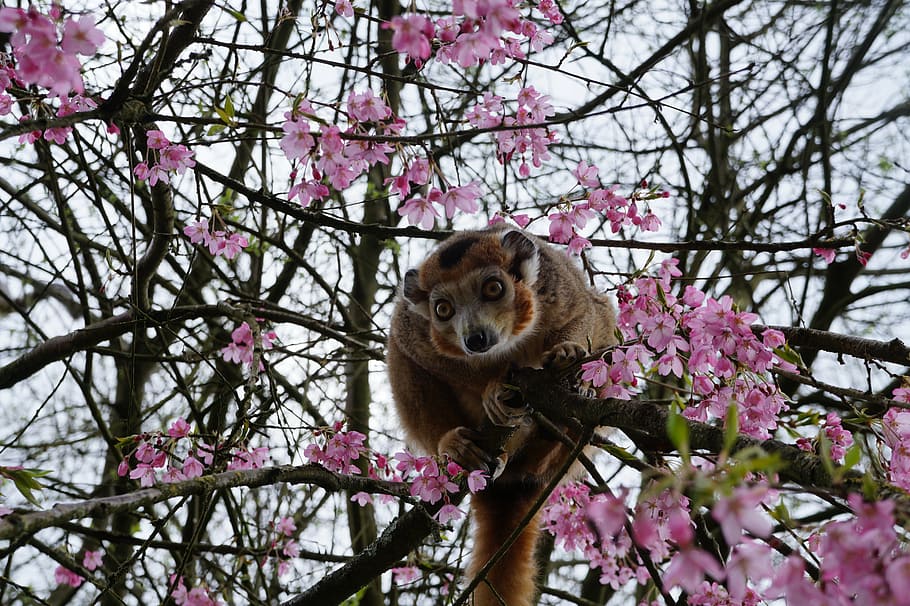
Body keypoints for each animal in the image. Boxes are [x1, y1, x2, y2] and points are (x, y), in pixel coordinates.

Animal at [387, 226, 616, 606]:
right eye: (443, 309)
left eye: (493, 288)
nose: (475, 337)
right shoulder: (413, 326)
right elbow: (413, 349)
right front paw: (492, 389)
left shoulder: (557, 286)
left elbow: (590, 312)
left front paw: (567, 352)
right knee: (402, 360)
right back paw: (456, 445)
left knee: (608, 348)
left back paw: (555, 431)